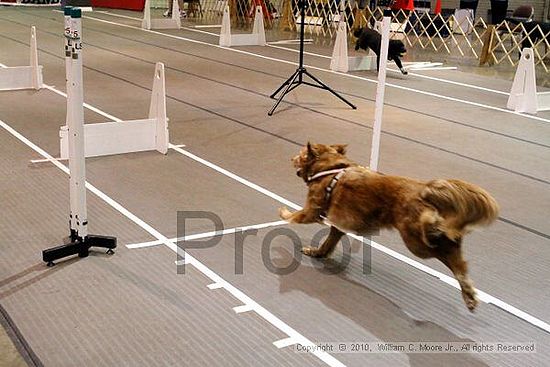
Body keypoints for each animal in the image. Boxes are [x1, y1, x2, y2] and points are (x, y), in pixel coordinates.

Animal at [280, 144, 500, 314]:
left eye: (300, 154)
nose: (290, 158)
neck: (331, 168)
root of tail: (423, 188)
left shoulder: (312, 210)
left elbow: (295, 216)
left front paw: (283, 213)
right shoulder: (337, 226)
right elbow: (328, 243)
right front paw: (317, 252)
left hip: (416, 243)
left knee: (448, 253)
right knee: (457, 257)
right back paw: (469, 294)